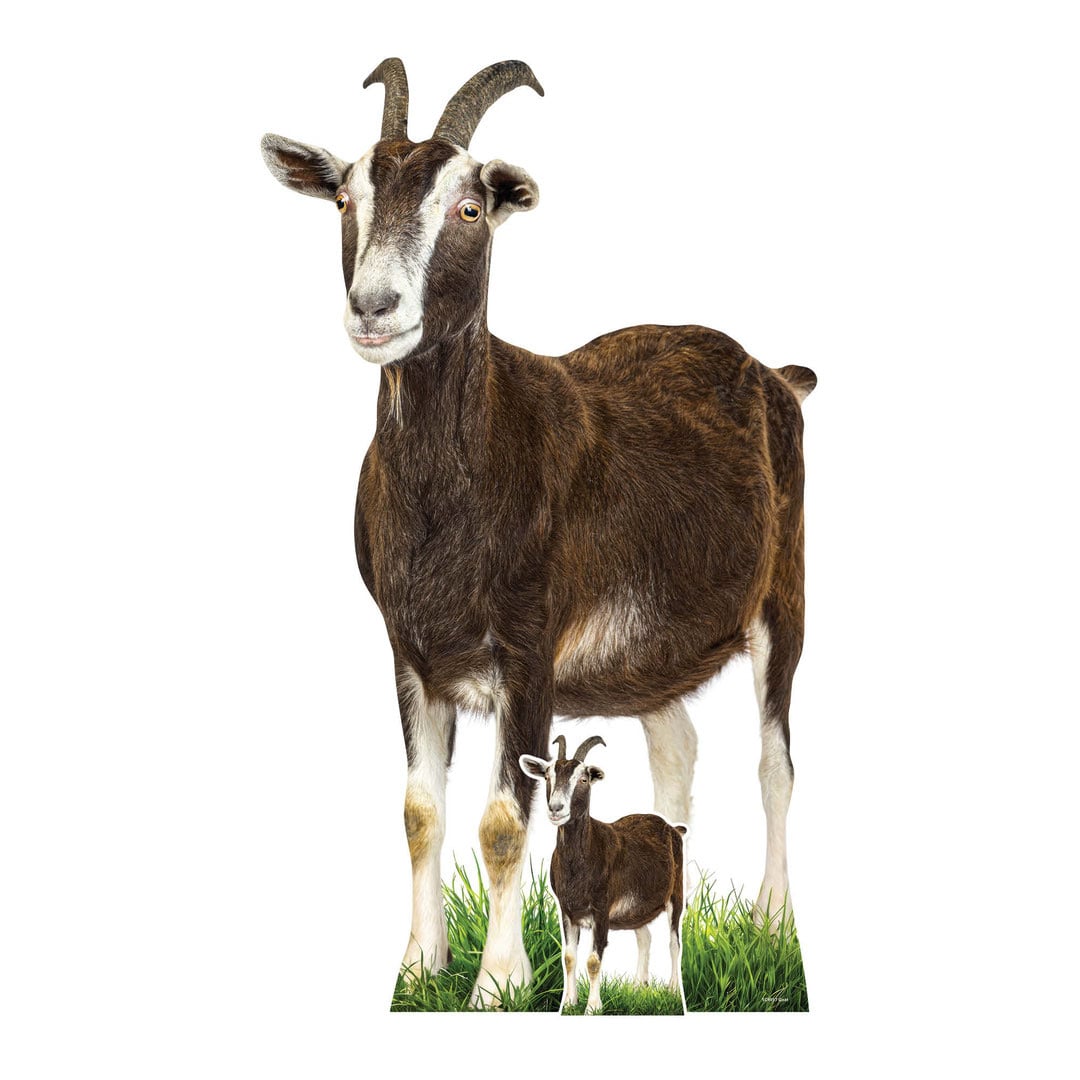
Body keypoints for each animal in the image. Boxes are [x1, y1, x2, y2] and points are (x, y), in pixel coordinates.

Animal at [520, 735, 686, 1013]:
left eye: (583, 779)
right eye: (547, 776)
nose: (556, 808)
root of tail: (674, 828)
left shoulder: (601, 909)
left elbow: (593, 960)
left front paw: (593, 1008)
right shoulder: (567, 910)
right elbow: (569, 957)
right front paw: (570, 1003)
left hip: (677, 893)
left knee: (674, 943)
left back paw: (673, 991)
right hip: (637, 908)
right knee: (645, 937)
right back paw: (638, 988)